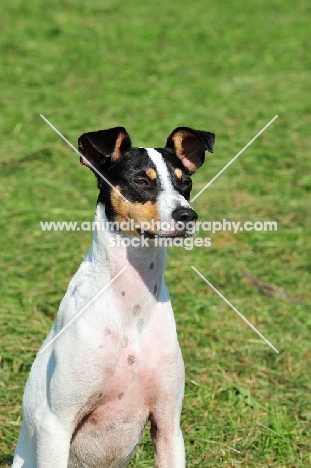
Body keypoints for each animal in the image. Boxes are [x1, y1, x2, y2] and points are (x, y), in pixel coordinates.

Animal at [12, 126, 217, 466]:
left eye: (185, 182)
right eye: (141, 181)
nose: (188, 215)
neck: (131, 307)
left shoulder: (168, 425)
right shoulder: (55, 424)